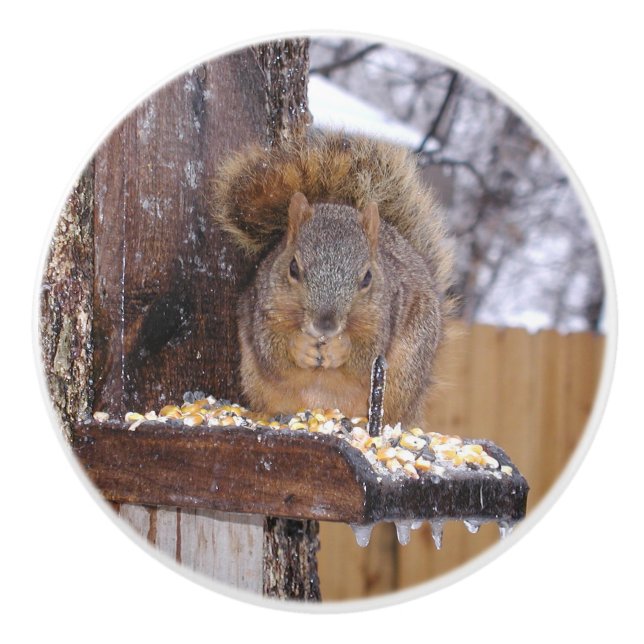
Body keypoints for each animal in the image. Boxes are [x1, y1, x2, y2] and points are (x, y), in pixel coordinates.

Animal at [212, 130, 454, 426]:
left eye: (367, 278)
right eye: (293, 268)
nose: (325, 325)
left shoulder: (384, 316)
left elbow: (366, 355)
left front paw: (340, 349)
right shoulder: (264, 308)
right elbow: (271, 352)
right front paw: (300, 347)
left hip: (405, 374)